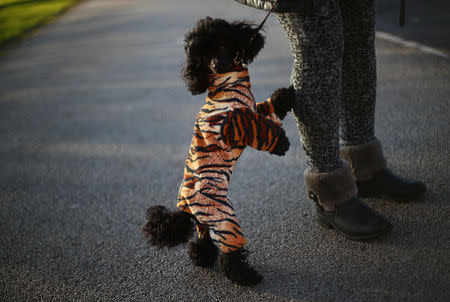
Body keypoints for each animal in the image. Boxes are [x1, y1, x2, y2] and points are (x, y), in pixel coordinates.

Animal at [142, 15, 296, 286]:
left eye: (221, 43)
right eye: (200, 59)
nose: (214, 65)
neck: (228, 83)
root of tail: (184, 205)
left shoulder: (250, 109)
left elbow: (268, 108)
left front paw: (283, 96)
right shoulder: (235, 122)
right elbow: (261, 131)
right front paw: (281, 144)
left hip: (206, 222)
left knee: (202, 242)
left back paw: (202, 259)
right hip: (223, 218)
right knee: (230, 254)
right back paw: (246, 276)